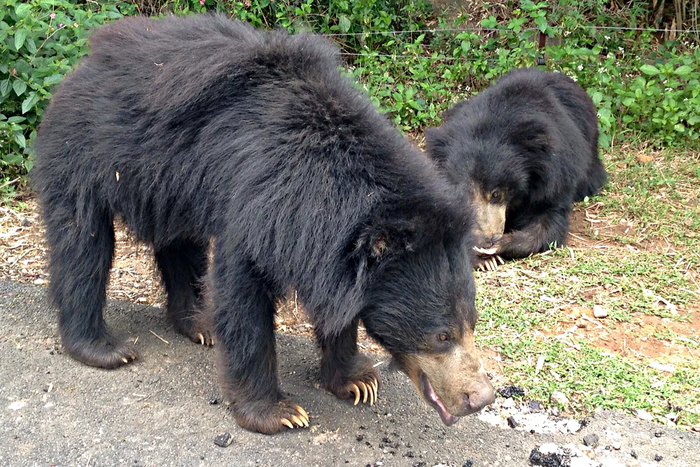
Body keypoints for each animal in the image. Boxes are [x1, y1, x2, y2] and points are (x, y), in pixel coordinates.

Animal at [31, 15, 492, 438]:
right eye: (441, 336)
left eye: (471, 324)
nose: (480, 398)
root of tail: (83, 62)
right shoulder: (260, 204)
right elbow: (243, 296)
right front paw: (278, 413)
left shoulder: (327, 248)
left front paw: (357, 382)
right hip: (86, 151)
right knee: (82, 244)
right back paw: (103, 348)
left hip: (171, 182)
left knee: (179, 243)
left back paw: (199, 324)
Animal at [426, 68, 608, 270]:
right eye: (464, 195)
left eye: (496, 194)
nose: (486, 241)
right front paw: (483, 258)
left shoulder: (556, 174)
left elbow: (547, 221)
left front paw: (498, 247)